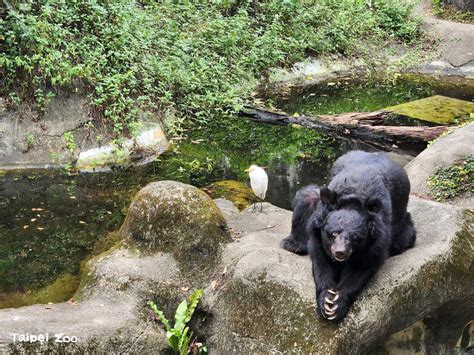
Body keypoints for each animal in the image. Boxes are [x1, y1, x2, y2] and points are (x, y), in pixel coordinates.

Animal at [282, 150, 414, 322]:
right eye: (333, 233)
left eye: (355, 238)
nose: (340, 252)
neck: (353, 196)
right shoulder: (318, 232)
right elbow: (320, 260)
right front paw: (325, 301)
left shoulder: (379, 236)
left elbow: (363, 266)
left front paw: (337, 304)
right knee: (307, 196)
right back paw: (293, 244)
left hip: (401, 226)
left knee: (404, 239)